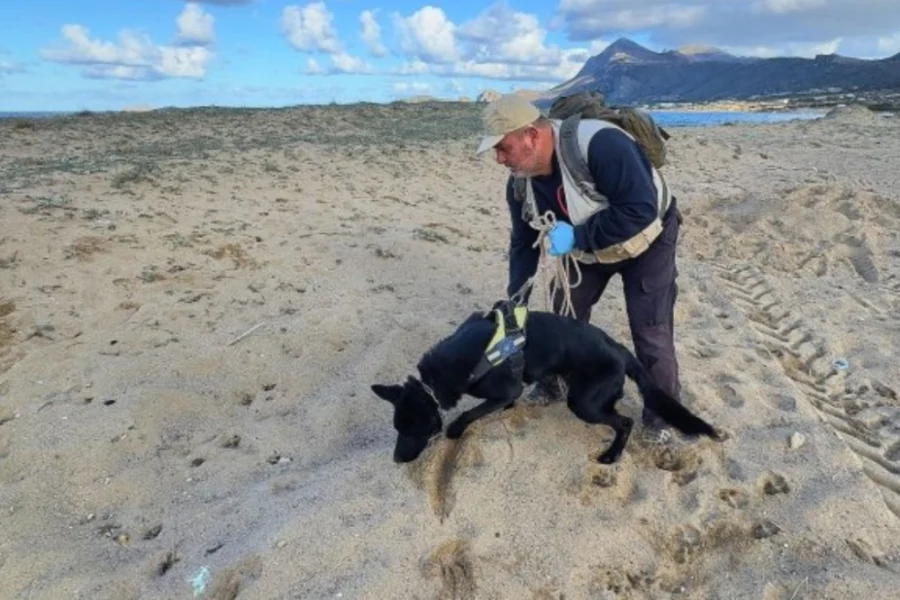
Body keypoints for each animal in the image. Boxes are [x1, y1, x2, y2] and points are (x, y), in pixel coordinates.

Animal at [370, 304, 720, 464]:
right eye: (397, 427)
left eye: (411, 428)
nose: (397, 459)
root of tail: (619, 349)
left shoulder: (504, 389)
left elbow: (470, 413)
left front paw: (455, 429)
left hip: (584, 403)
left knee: (625, 422)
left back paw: (612, 455)